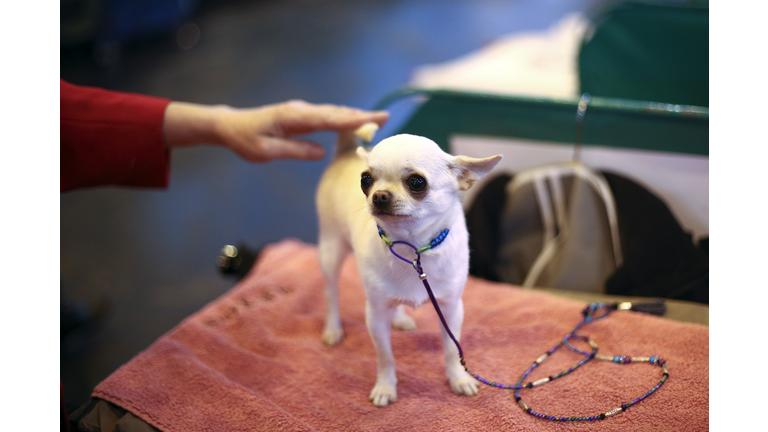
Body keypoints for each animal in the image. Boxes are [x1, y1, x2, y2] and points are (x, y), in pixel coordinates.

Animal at [316, 124, 500, 404]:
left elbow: (451, 348)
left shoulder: (451, 309)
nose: (379, 195)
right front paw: (385, 386)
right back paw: (333, 329)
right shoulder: (376, 315)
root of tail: (345, 152)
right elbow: (385, 356)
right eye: (365, 180)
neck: (411, 249)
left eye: (416, 182)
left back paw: (400, 318)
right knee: (331, 293)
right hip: (331, 249)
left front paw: (458, 378)